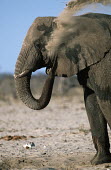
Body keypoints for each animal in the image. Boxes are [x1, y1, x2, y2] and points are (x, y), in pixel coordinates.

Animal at [14, 13, 111, 165]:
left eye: (38, 45)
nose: (51, 67)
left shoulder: (104, 62)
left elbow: (106, 99)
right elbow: (91, 102)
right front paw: (98, 161)